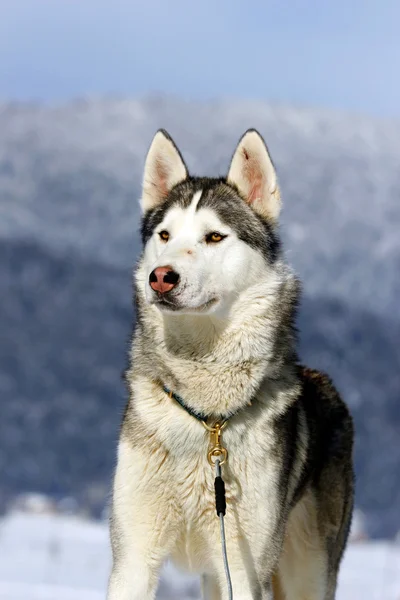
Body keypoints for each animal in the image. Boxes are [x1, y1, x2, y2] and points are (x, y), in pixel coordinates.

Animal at [107, 130, 354, 600]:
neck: (207, 419)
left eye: (215, 237)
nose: (161, 277)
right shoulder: (133, 558)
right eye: (164, 235)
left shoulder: (245, 569)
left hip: (305, 570)